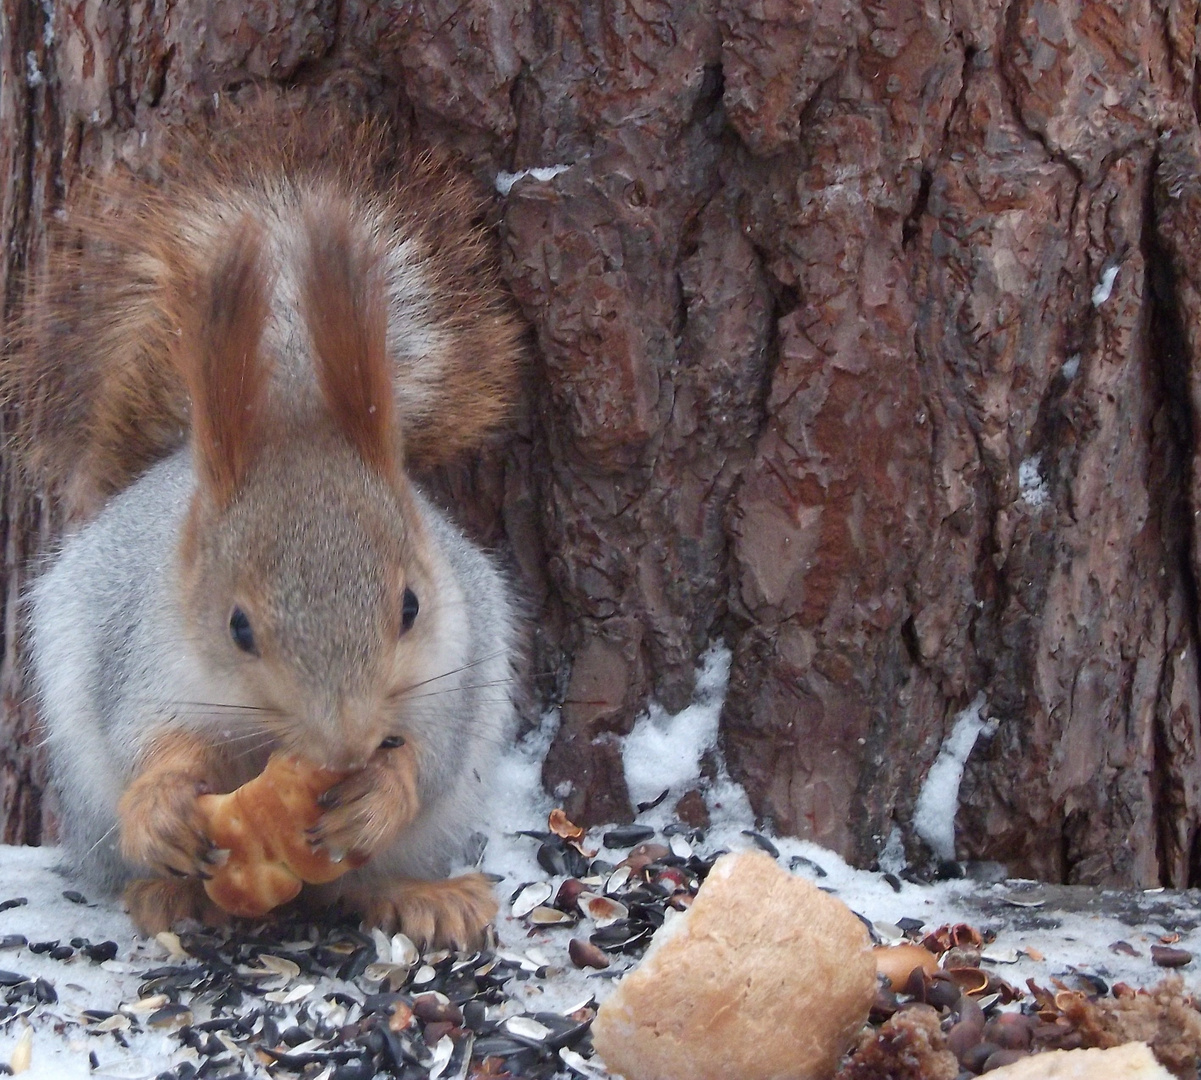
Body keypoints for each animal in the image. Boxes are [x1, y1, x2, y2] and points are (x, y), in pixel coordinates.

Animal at [5, 114, 521, 951]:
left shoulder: (458, 664)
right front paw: (161, 806)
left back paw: (421, 895)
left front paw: (380, 791)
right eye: (237, 627)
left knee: (361, 884)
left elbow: (430, 758)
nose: (345, 747)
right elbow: (145, 741)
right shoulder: (147, 663)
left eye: (411, 607)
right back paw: (171, 894)